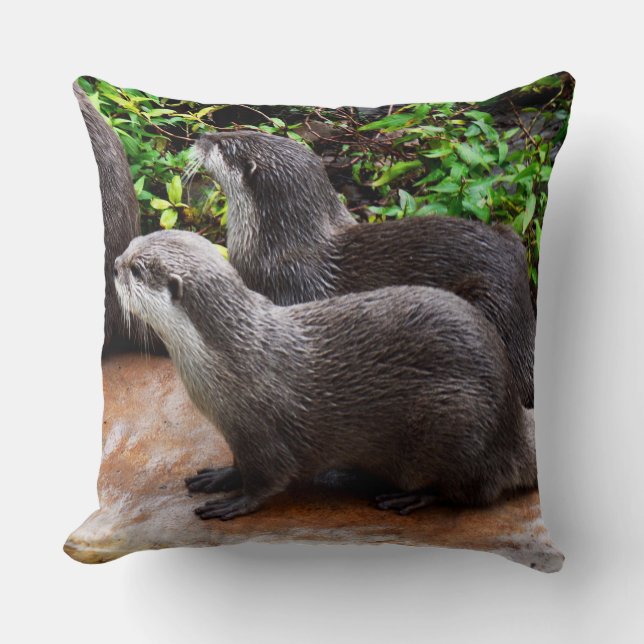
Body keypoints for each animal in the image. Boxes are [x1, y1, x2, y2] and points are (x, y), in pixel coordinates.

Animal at [114, 230, 536, 520]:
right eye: (131, 245)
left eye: (137, 269)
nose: (114, 264)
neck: (231, 360)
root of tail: (512, 427)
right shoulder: (237, 432)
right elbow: (237, 463)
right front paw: (219, 476)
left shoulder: (262, 431)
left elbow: (268, 478)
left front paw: (235, 501)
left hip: (457, 422)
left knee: (471, 491)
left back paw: (410, 496)